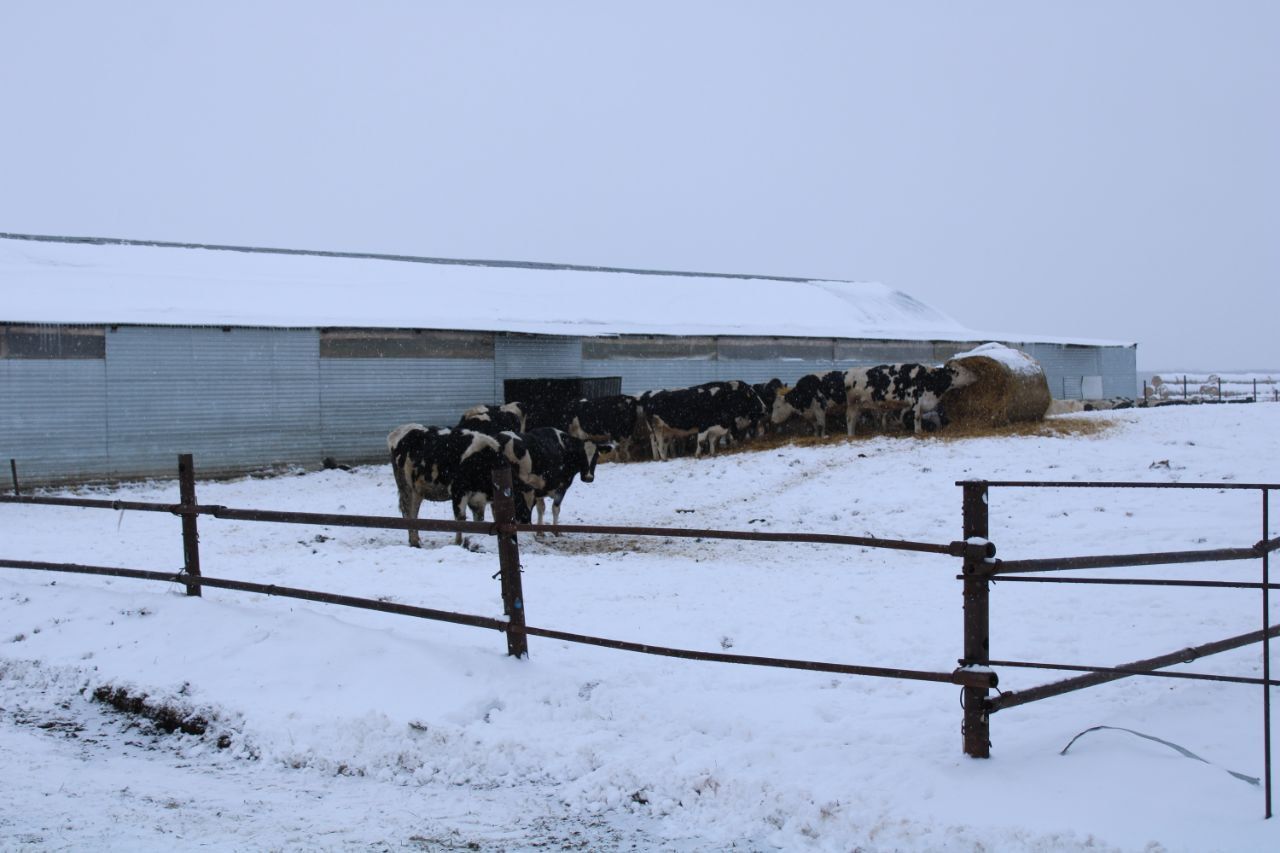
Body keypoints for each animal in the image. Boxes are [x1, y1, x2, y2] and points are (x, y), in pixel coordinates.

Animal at [844, 361, 972, 435]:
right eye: (963, 371)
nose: (974, 376)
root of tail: (848, 372)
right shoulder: (916, 400)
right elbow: (917, 417)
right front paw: (918, 432)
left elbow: (913, 416)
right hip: (853, 403)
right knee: (850, 420)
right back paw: (851, 436)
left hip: (859, 405)